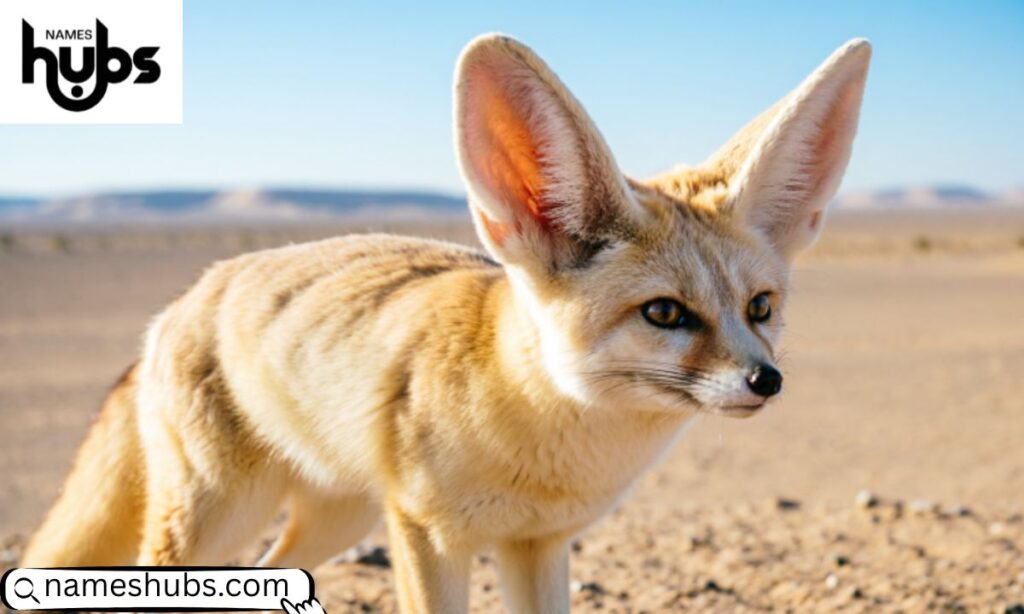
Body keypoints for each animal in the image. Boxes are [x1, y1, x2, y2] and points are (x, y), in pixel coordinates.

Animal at [22, 34, 871, 613]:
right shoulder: (431, 537)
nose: (767, 380)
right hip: (215, 517)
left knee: (265, 575)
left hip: (337, 518)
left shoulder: (538, 543)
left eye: (760, 308)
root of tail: (186, 295)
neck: (544, 447)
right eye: (666, 313)